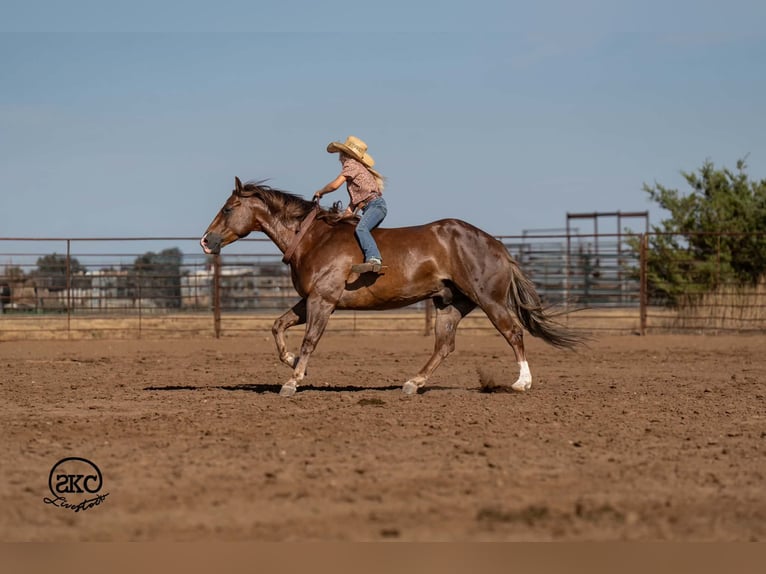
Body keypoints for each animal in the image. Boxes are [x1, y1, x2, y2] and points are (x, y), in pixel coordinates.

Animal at [201, 177, 585, 397]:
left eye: (228, 208)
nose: (206, 241)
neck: (314, 238)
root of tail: (499, 246)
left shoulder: (323, 301)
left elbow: (310, 340)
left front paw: (293, 380)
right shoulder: (309, 299)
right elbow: (277, 325)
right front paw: (293, 362)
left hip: (489, 300)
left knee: (514, 332)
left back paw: (522, 383)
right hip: (450, 304)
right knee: (444, 346)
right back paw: (414, 383)